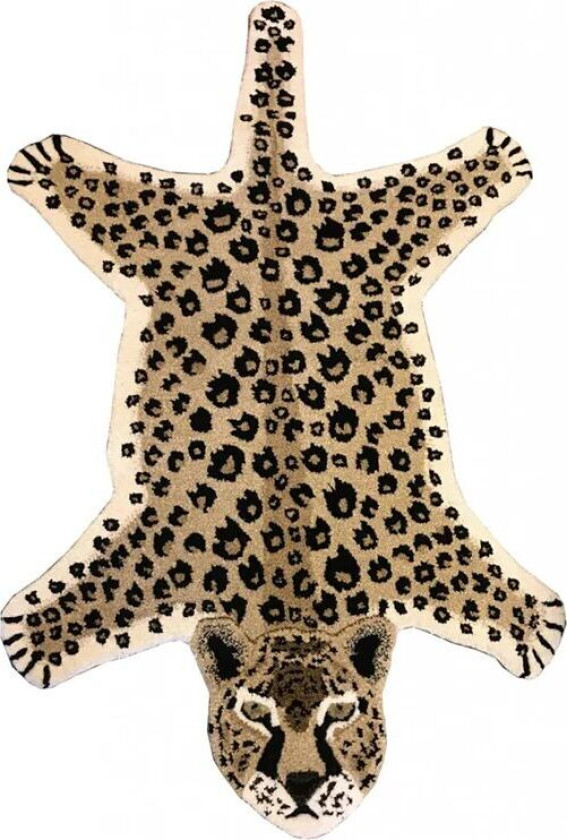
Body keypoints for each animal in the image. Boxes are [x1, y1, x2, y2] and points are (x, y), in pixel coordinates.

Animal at [2, 2, 564, 836]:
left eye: (341, 714)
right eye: (254, 713)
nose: (302, 788)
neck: (293, 579)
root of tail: (271, 174)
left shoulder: (424, 545)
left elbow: (485, 593)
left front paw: (527, 620)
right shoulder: (155, 559)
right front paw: (39, 632)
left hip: (380, 221)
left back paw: (493, 156)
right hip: (155, 220)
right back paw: (48, 162)